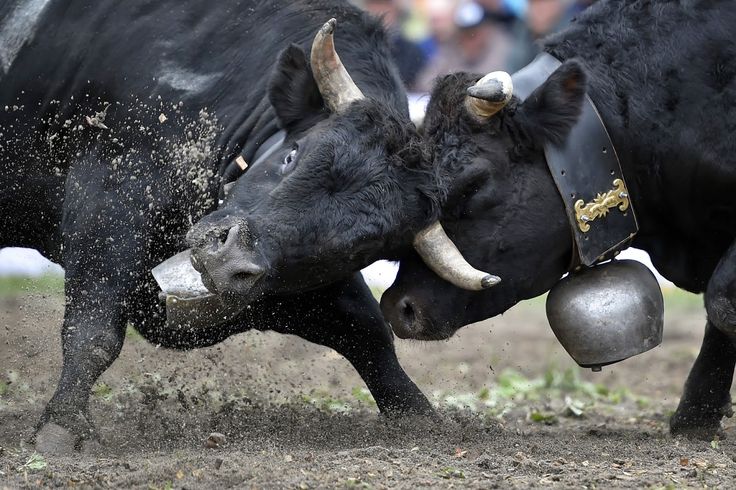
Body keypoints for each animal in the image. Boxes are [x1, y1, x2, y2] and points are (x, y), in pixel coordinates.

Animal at [0, 0, 435, 454]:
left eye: (362, 247)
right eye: (292, 154)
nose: (227, 258)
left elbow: (368, 331)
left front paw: (418, 417)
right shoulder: (109, 200)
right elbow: (94, 330)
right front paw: (63, 424)